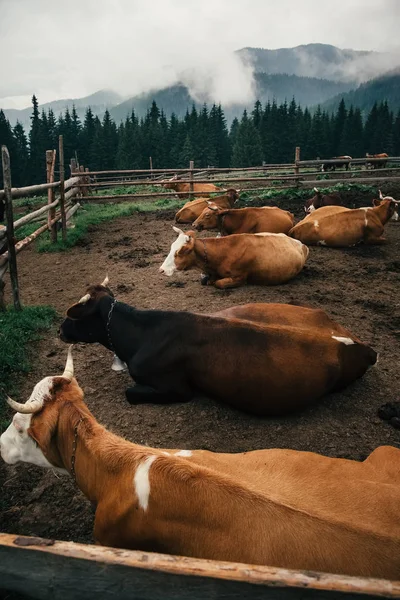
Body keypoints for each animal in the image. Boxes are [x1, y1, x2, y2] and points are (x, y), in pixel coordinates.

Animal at [160, 227, 310, 288]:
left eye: (181, 251)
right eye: (172, 246)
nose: (161, 270)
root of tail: (300, 243)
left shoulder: (240, 277)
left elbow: (219, 283)